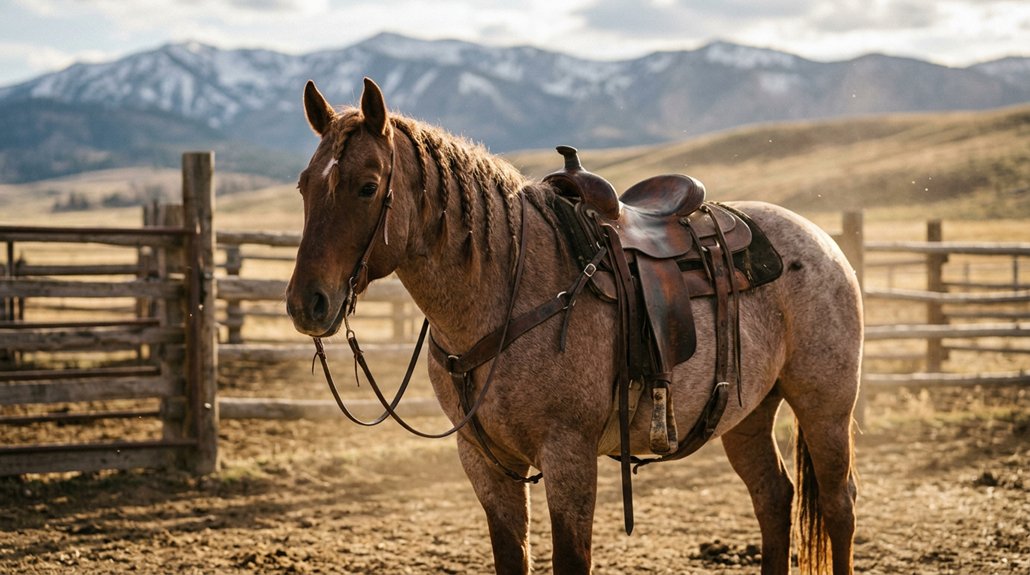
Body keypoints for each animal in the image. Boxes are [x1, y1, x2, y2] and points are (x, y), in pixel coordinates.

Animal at [285, 77, 862, 575]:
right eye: (304, 185)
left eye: (367, 186)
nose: (306, 303)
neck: (508, 289)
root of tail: (822, 241)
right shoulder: (484, 461)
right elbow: (510, 556)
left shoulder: (569, 455)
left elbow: (570, 558)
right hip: (746, 413)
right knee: (774, 497)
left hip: (825, 406)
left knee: (839, 505)